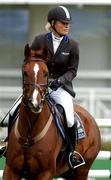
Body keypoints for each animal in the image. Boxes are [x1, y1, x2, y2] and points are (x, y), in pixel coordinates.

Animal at [3, 44, 101, 180]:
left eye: (46, 73)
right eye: (25, 72)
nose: (35, 103)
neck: (29, 133)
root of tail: (91, 119)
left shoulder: (45, 173)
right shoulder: (10, 170)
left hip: (82, 171)